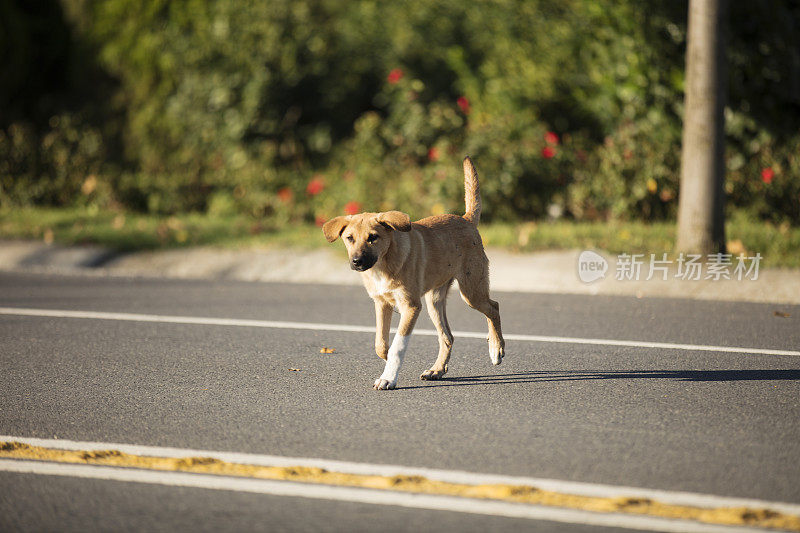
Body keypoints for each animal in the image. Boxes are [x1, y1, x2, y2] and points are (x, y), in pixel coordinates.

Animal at [320, 156, 504, 388]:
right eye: (349, 238)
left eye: (373, 237)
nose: (357, 262)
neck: (383, 265)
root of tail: (466, 219)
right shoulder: (381, 303)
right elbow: (381, 343)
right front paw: (387, 362)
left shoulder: (411, 306)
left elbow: (398, 345)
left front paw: (388, 377)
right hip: (434, 301)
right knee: (448, 337)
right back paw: (437, 370)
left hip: (471, 291)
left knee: (493, 307)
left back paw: (495, 348)